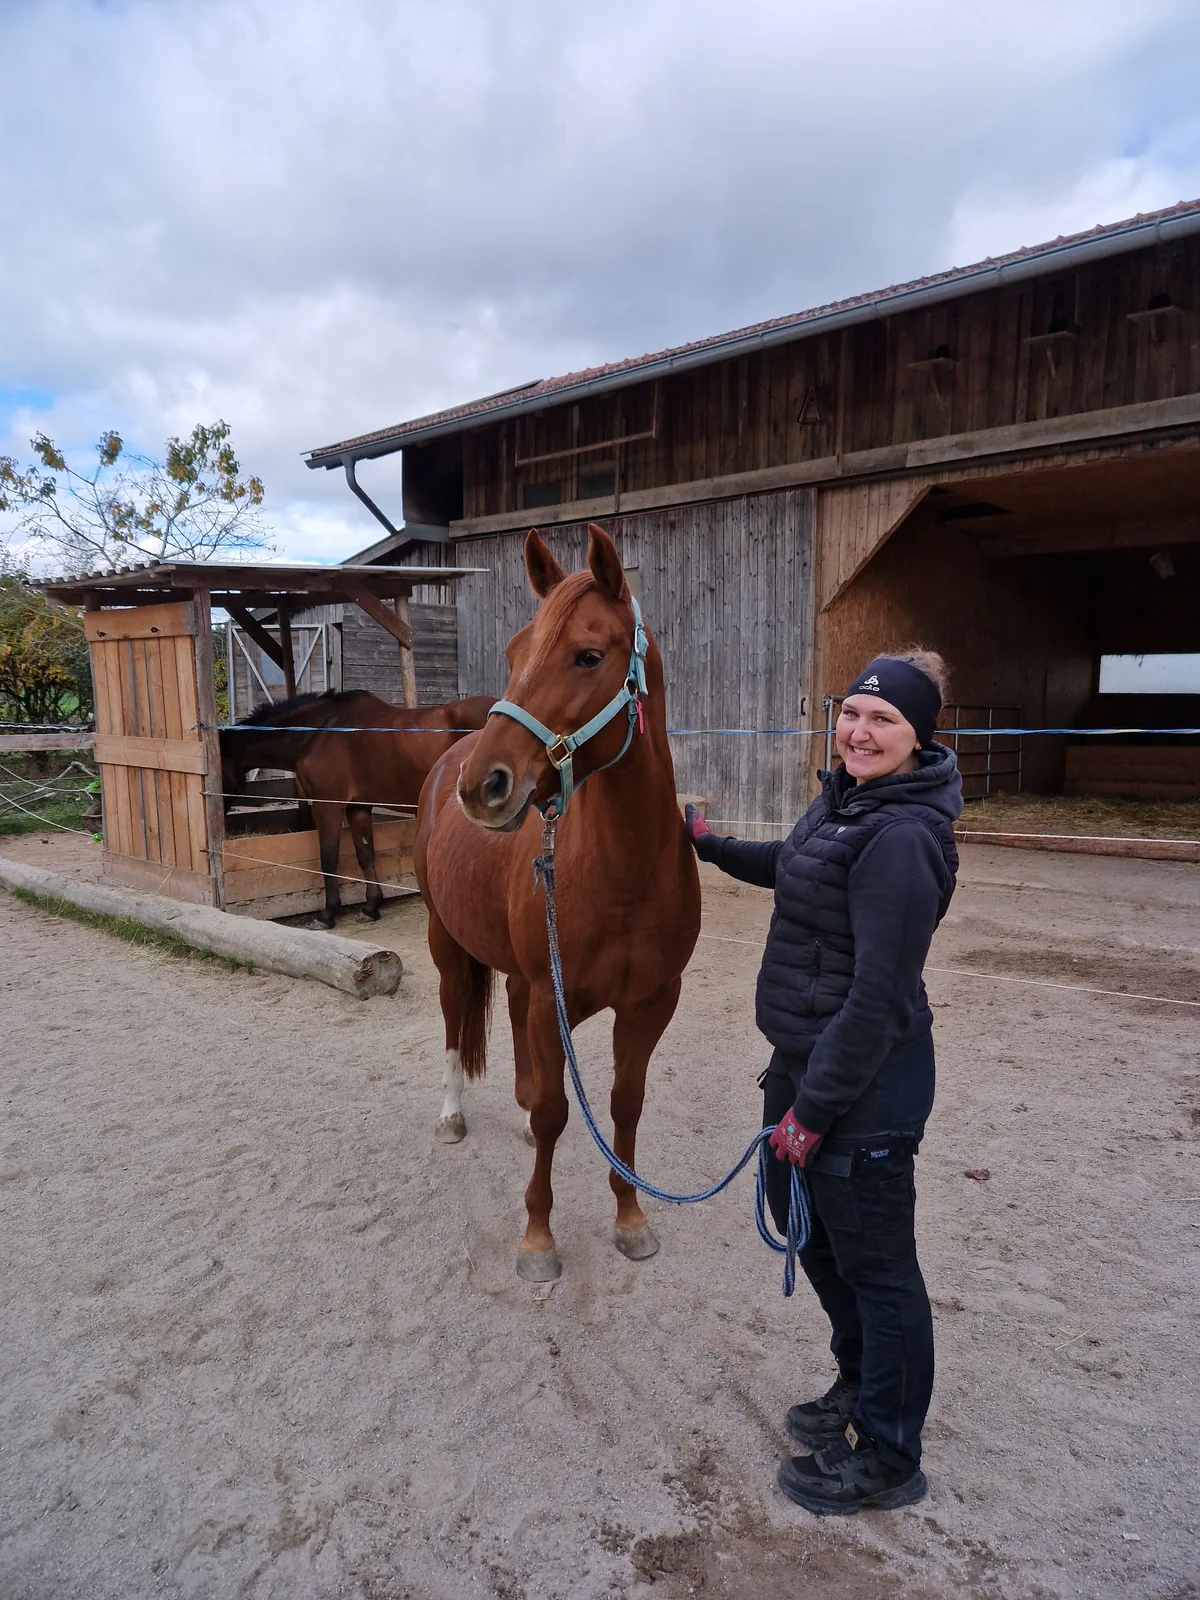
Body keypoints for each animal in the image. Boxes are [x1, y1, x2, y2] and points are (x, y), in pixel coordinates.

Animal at [295, 692, 494, 926]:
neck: (323, 730)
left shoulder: (326, 805)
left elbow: (328, 858)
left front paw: (327, 914)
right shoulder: (358, 807)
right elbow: (365, 855)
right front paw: (371, 907)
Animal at [415, 523, 701, 1282]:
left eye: (588, 655)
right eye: (516, 653)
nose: (484, 784)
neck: (625, 874)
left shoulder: (651, 1003)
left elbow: (624, 1107)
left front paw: (631, 1219)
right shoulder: (554, 998)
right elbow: (553, 1111)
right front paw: (538, 1239)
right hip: (444, 941)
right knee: (454, 1016)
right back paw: (451, 1115)